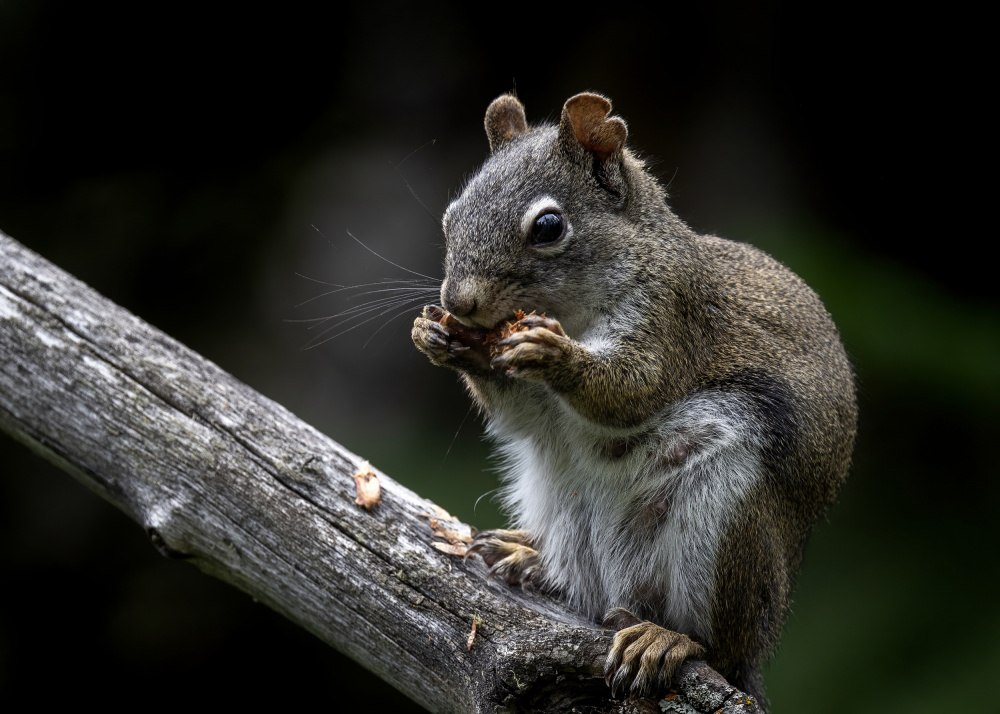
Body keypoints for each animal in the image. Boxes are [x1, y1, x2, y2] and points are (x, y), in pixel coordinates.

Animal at [411, 92, 857, 708]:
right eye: (451, 216)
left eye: (548, 227)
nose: (459, 302)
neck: (575, 311)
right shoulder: (535, 404)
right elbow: (519, 411)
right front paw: (440, 338)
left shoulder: (671, 316)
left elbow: (634, 389)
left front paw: (556, 355)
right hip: (562, 506)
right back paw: (531, 558)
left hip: (726, 519)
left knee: (714, 643)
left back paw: (666, 639)